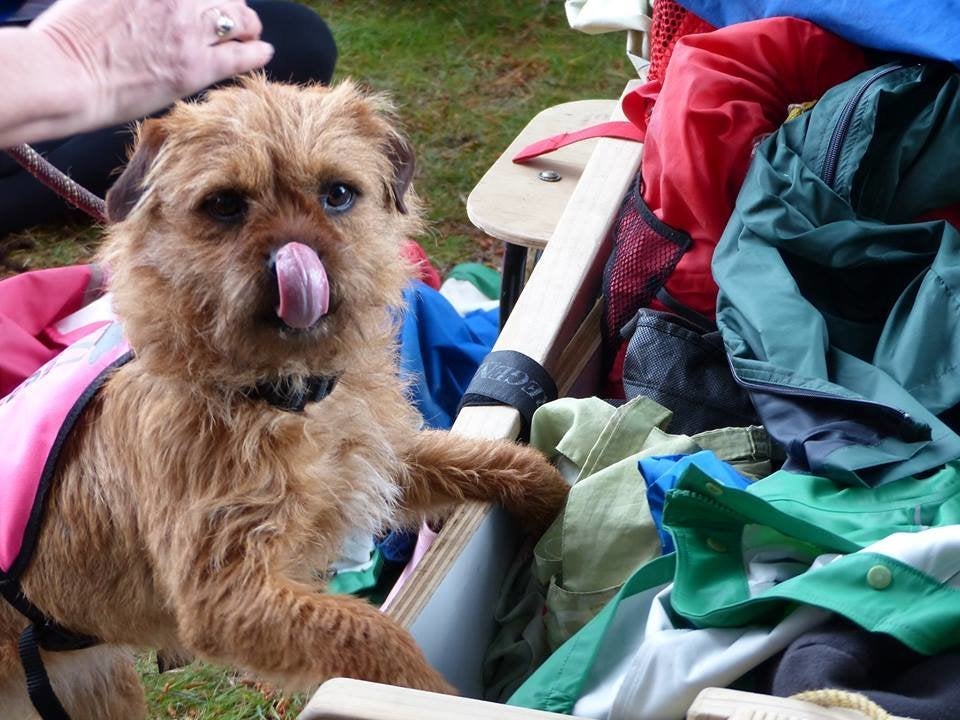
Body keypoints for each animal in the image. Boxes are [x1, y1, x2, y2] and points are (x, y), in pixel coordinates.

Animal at [0, 76, 568, 716]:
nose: (296, 257)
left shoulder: (378, 457)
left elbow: (484, 458)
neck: (282, 394)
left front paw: (553, 505)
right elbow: (370, 631)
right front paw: (429, 693)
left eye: (338, 194)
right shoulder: (225, 593)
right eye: (224, 203)